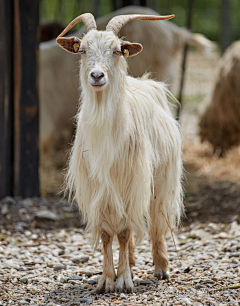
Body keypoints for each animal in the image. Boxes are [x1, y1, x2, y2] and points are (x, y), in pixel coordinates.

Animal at [57, 12, 183, 294]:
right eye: (82, 50)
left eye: (116, 50)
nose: (96, 75)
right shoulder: (100, 188)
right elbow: (107, 234)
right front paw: (106, 280)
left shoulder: (132, 182)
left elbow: (124, 231)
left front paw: (124, 280)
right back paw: (134, 262)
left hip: (161, 180)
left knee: (157, 222)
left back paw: (161, 268)